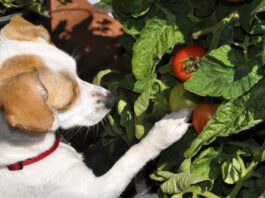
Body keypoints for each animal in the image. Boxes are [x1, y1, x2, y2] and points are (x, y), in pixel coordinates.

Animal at [0, 16, 191, 197]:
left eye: (77, 72)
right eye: (69, 101)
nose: (112, 99)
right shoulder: (98, 189)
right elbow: (132, 156)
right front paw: (165, 131)